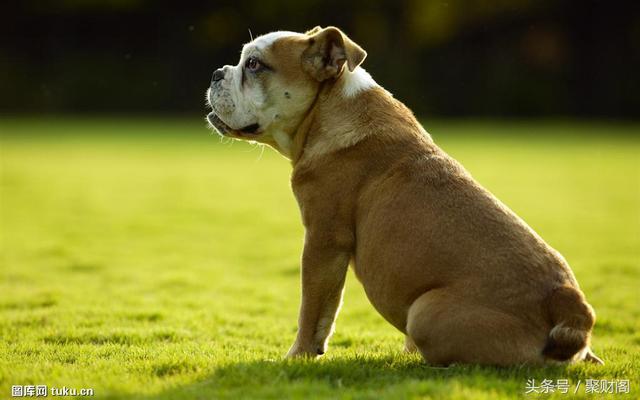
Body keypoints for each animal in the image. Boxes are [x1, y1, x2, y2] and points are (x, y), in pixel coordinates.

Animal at [208, 25, 604, 366]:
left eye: (254, 65)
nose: (216, 72)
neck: (327, 110)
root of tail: (569, 304)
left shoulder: (323, 241)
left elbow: (315, 309)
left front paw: (298, 355)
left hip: (425, 312)